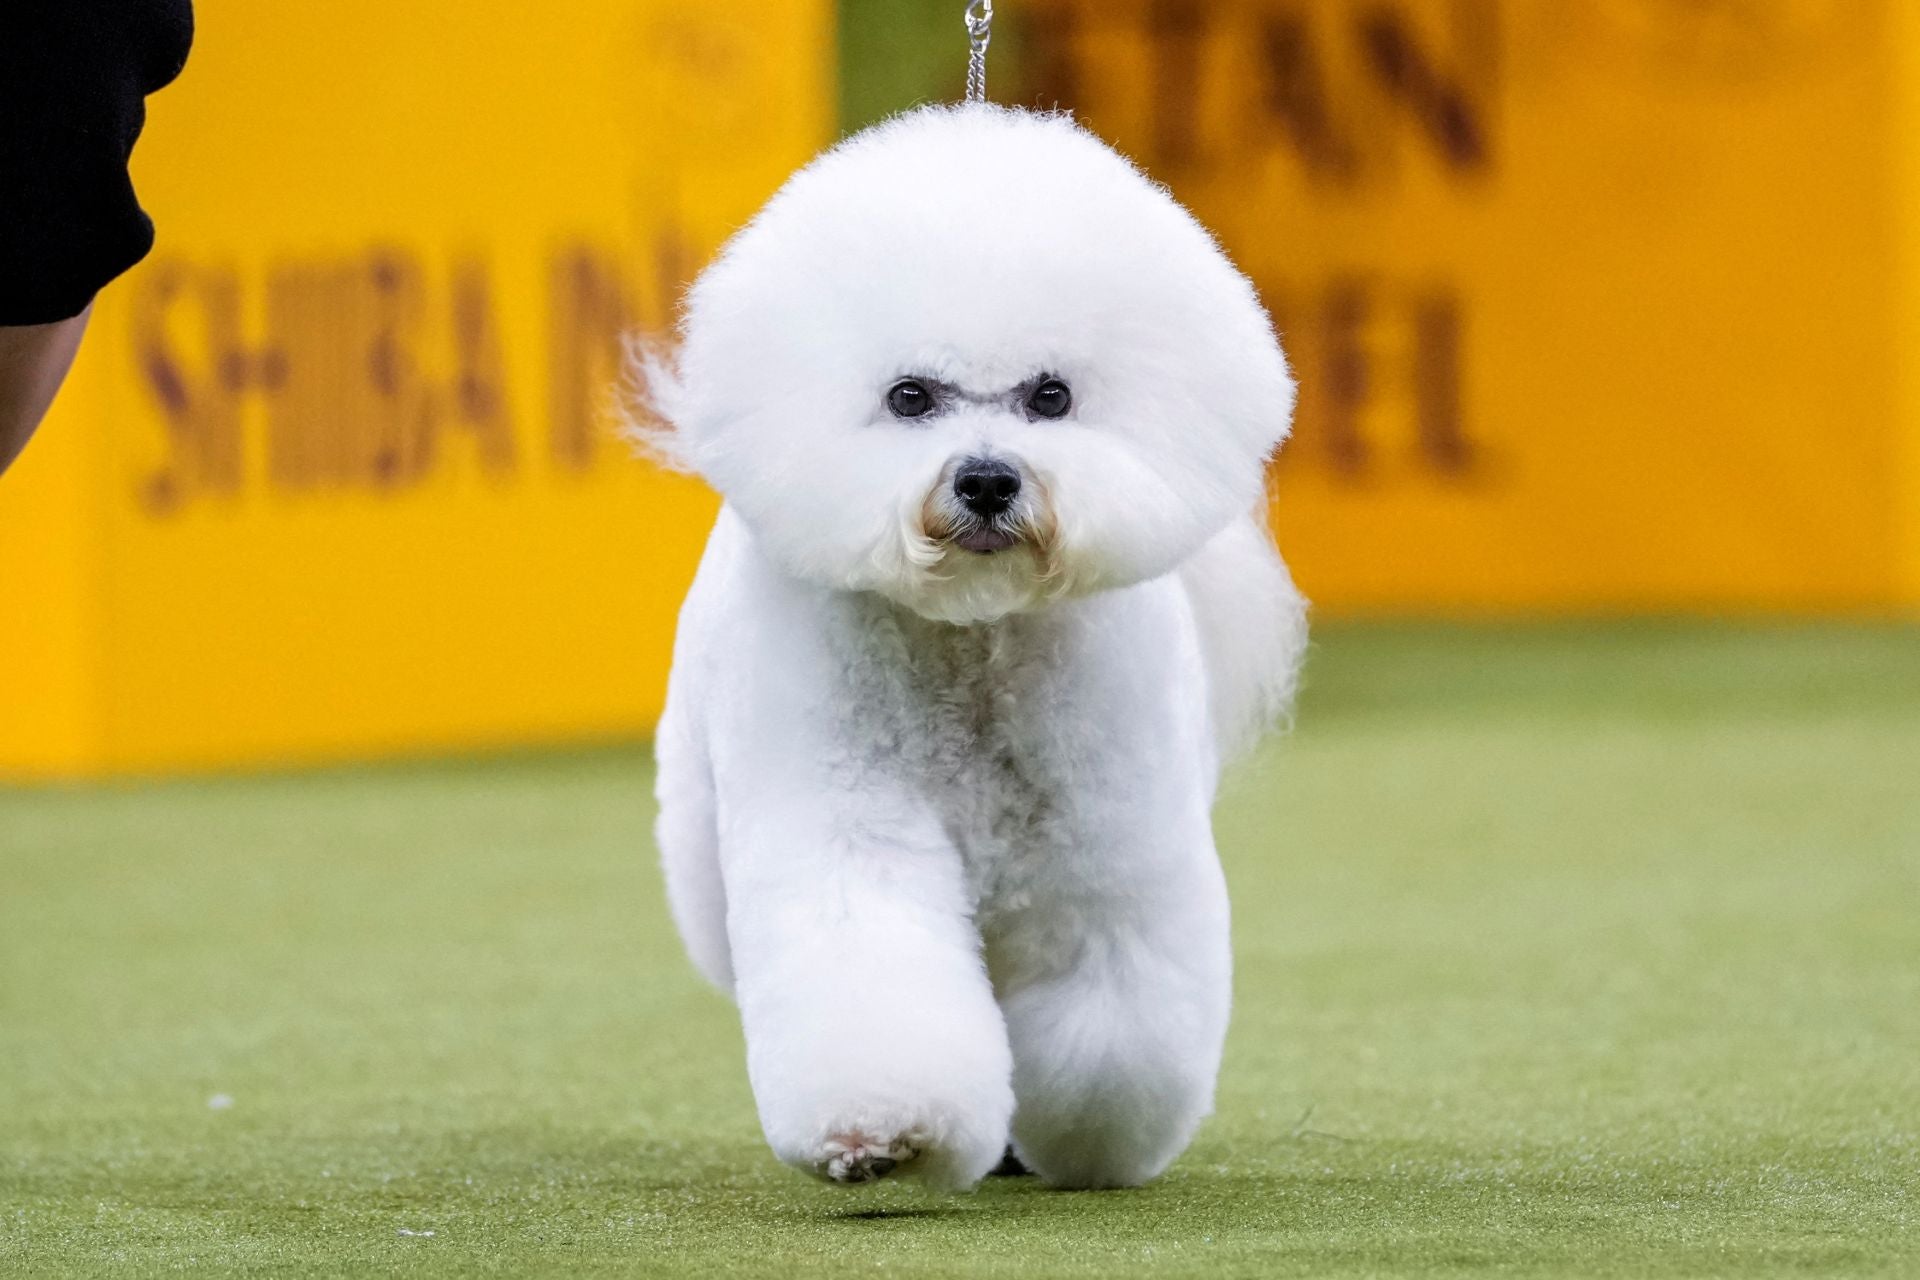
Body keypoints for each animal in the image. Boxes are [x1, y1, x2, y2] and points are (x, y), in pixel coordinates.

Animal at [641, 105, 1305, 1197]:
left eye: (1051, 396)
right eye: (911, 395)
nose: (988, 480)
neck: (975, 640)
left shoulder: (1104, 851)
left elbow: (1110, 1021)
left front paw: (1089, 1137)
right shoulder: (851, 828)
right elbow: (870, 964)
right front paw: (884, 1135)